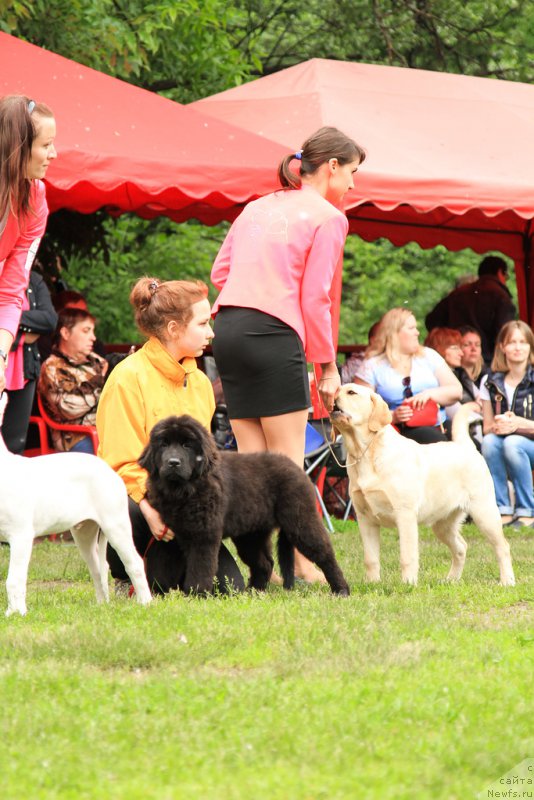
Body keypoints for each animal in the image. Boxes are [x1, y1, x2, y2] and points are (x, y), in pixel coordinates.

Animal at [0, 394, 151, 612]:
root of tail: (107, 467)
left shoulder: (21, 535)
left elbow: (14, 579)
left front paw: (17, 614)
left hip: (116, 525)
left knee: (134, 563)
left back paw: (146, 602)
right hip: (84, 533)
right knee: (97, 569)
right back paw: (101, 606)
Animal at [139, 416, 352, 596]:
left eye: (186, 445)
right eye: (164, 444)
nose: (173, 462)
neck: (185, 490)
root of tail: (297, 469)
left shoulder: (204, 536)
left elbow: (200, 567)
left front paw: (196, 594)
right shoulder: (180, 534)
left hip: (301, 521)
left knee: (325, 554)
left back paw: (341, 589)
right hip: (250, 534)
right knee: (265, 563)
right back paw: (253, 592)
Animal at [332, 386, 516, 588]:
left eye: (351, 392)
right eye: (338, 390)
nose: (332, 397)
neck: (365, 453)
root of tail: (466, 446)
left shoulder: (405, 515)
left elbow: (407, 556)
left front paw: (408, 584)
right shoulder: (365, 518)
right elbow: (370, 558)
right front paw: (372, 583)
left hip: (484, 512)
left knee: (502, 546)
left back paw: (507, 580)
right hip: (443, 523)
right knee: (461, 547)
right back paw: (451, 579)